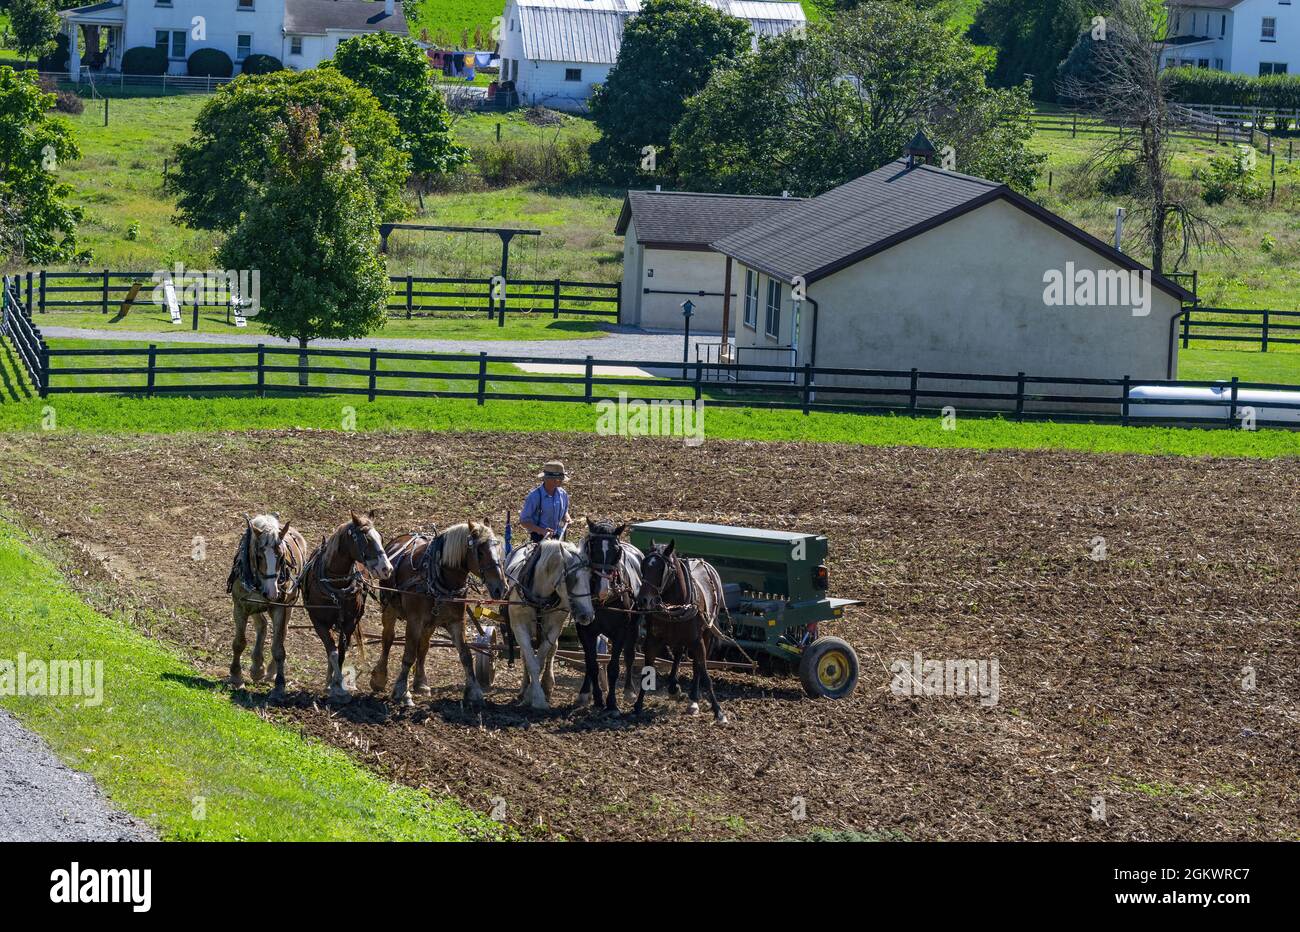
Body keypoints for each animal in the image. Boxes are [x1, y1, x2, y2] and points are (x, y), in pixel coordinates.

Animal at [227, 509, 308, 696]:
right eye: (259, 556)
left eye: (281, 557)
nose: (272, 592)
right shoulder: (241, 606)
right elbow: (239, 643)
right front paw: (236, 677)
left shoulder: (279, 608)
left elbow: (278, 648)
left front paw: (279, 684)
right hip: (254, 606)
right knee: (262, 626)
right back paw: (257, 668)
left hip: (287, 605)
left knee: (281, 632)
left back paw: (269, 671)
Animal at [300, 512, 392, 701]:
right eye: (367, 539)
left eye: (380, 537)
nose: (386, 568)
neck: (337, 585)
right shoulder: (318, 622)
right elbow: (332, 652)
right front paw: (334, 684)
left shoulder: (350, 622)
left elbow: (341, 652)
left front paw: (338, 684)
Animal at [371, 522, 506, 707]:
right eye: (480, 552)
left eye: (498, 550)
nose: (501, 588)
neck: (439, 578)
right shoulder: (414, 620)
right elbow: (408, 654)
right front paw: (402, 691)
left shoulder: (456, 621)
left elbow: (466, 655)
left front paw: (475, 690)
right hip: (390, 608)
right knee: (388, 639)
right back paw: (379, 678)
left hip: (430, 623)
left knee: (424, 646)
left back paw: (421, 682)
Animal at [577, 517, 642, 712]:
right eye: (592, 547)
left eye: (616, 550)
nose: (604, 590)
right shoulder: (584, 630)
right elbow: (591, 664)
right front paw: (597, 699)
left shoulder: (620, 632)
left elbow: (613, 667)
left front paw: (612, 703)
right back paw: (585, 693)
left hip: (634, 625)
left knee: (629, 655)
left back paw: (629, 691)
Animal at [631, 538, 728, 727]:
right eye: (643, 566)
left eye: (662, 569)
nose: (643, 600)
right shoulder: (652, 640)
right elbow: (647, 671)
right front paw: (638, 706)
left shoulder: (697, 642)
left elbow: (705, 674)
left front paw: (719, 712)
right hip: (678, 638)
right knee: (677, 656)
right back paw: (673, 687)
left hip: (705, 635)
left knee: (697, 666)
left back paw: (693, 701)